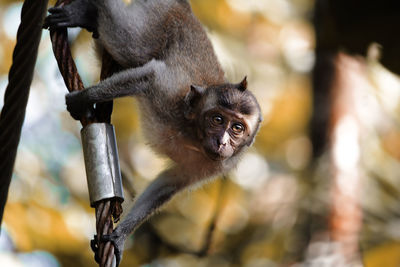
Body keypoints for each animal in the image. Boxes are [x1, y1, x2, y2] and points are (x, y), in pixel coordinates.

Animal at [43, 0, 262, 264]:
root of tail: (184, 8)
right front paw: (81, 100)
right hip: (157, 19)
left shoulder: (215, 165)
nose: (222, 141)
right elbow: (151, 76)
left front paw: (120, 235)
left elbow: (169, 183)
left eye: (237, 128)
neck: (194, 135)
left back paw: (88, 17)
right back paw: (90, 9)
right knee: (129, 44)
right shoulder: (171, 93)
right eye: (217, 119)